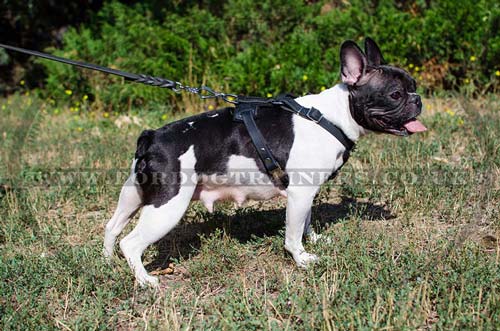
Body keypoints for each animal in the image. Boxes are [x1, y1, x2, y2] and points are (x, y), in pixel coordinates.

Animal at [103, 39, 424, 286]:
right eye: (395, 94)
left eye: (413, 85)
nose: (418, 99)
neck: (331, 116)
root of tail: (152, 136)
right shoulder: (299, 194)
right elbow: (292, 234)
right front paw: (302, 260)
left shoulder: (305, 194)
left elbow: (305, 222)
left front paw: (314, 240)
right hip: (167, 206)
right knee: (131, 243)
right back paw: (145, 280)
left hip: (134, 195)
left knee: (112, 227)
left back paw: (108, 262)